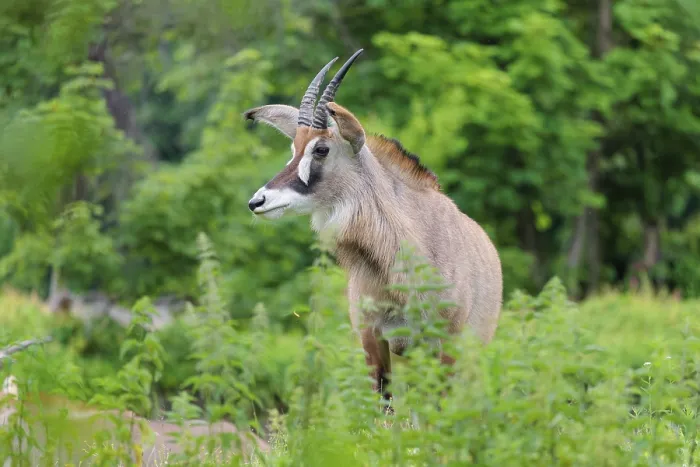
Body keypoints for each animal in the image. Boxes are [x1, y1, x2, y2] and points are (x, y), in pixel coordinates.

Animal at [244, 49, 503, 408]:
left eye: (321, 149)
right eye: (293, 149)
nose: (257, 201)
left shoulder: (446, 342)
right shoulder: (373, 338)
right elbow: (383, 405)